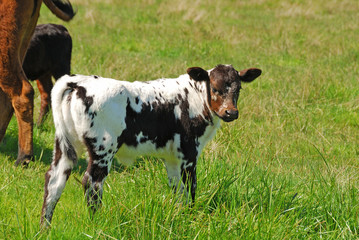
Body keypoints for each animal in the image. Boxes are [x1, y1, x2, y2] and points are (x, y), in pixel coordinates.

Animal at [40, 63, 262, 225]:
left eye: (238, 89)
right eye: (215, 88)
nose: (231, 112)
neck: (194, 98)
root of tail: (79, 82)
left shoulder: (172, 158)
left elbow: (177, 189)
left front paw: (179, 217)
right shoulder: (189, 154)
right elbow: (190, 187)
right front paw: (190, 218)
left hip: (64, 145)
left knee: (54, 180)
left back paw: (45, 228)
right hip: (103, 148)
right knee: (92, 182)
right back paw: (96, 223)